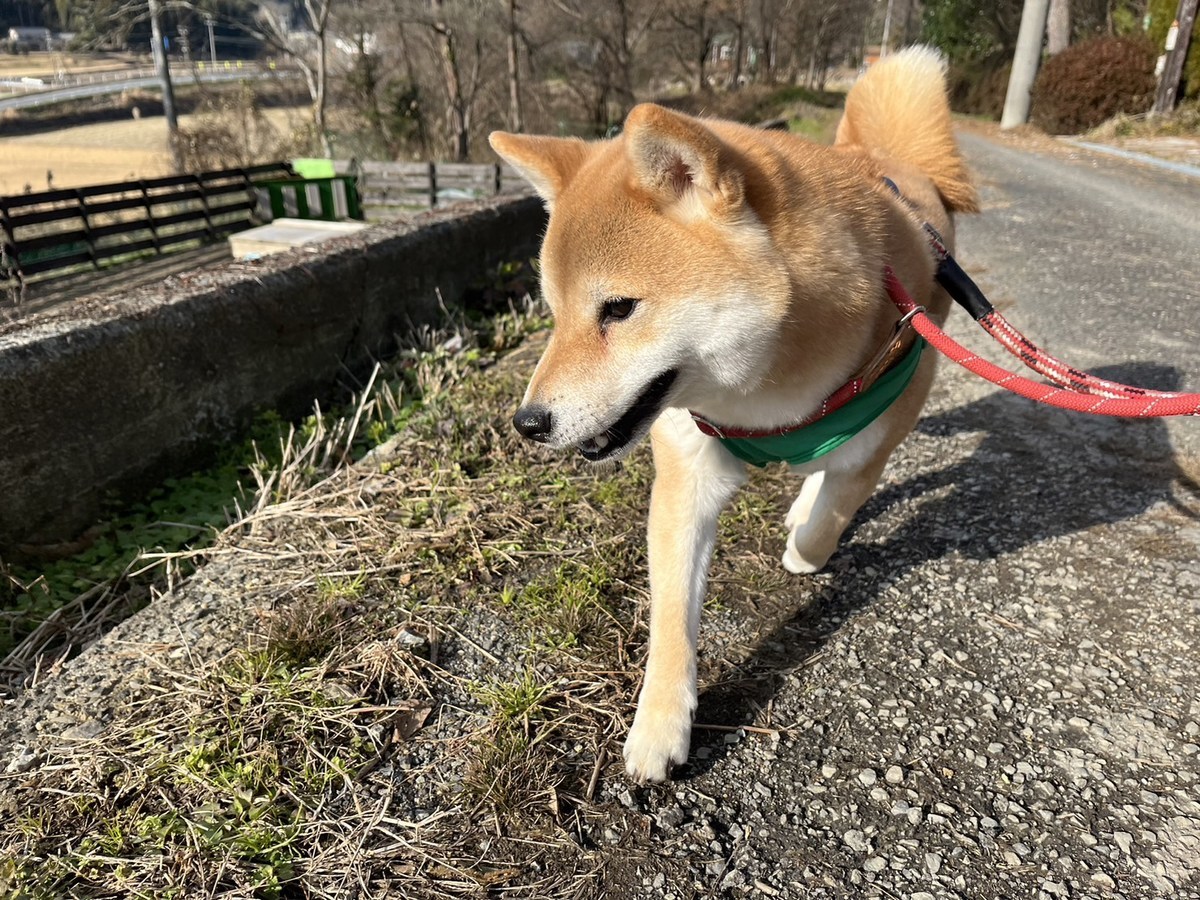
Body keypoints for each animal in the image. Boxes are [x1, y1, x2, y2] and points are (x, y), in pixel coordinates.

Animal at [492, 47, 979, 782]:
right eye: (554, 312)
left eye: (618, 309)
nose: (529, 423)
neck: (764, 393)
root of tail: (887, 158)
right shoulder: (686, 469)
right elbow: (672, 617)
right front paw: (660, 725)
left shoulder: (879, 429)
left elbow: (830, 519)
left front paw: (804, 547)